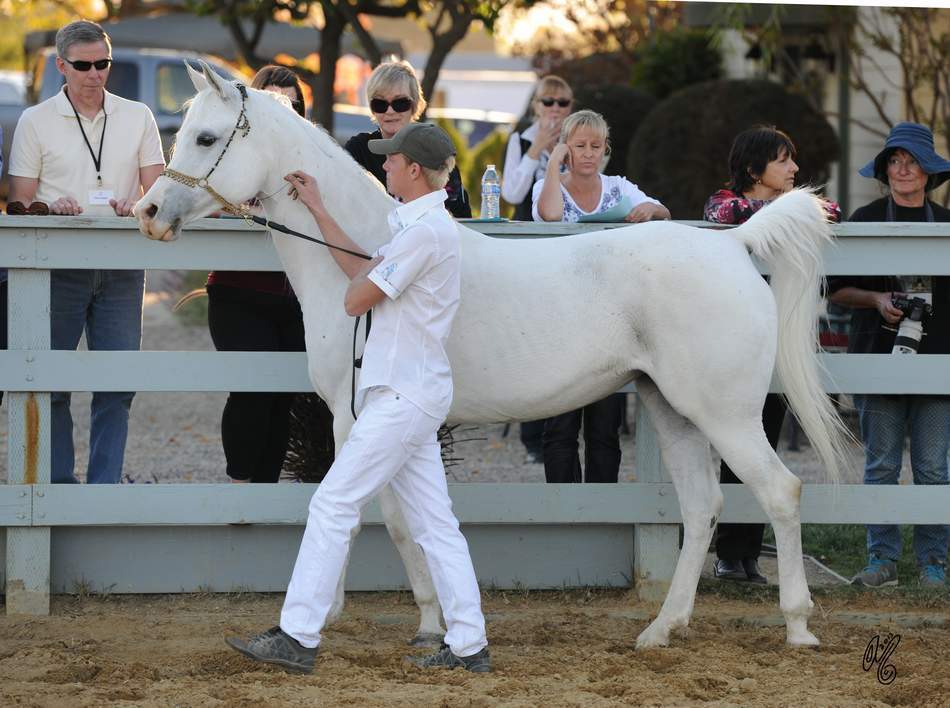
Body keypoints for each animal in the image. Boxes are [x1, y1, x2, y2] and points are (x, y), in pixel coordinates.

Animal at [137, 63, 851, 649]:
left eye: (206, 139)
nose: (147, 210)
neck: (364, 255)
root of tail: (735, 244)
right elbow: (405, 518)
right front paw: (416, 619)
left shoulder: (354, 414)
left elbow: (379, 517)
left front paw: (376, 617)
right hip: (672, 409)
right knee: (703, 508)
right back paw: (661, 628)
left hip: (725, 415)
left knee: (780, 492)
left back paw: (797, 626)